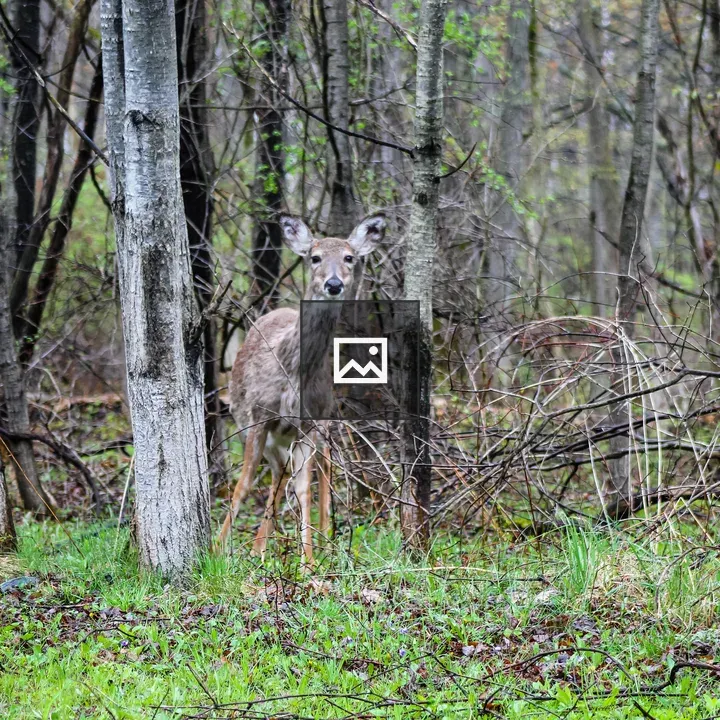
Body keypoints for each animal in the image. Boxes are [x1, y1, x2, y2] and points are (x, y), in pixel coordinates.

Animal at [215, 212, 387, 566]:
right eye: (315, 257)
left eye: (349, 257)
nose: (333, 284)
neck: (292, 370)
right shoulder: (258, 416)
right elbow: (244, 483)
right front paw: (217, 548)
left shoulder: (309, 421)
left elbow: (304, 487)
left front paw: (308, 561)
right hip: (264, 428)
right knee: (279, 471)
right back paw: (261, 546)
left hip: (322, 422)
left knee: (321, 464)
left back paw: (324, 538)